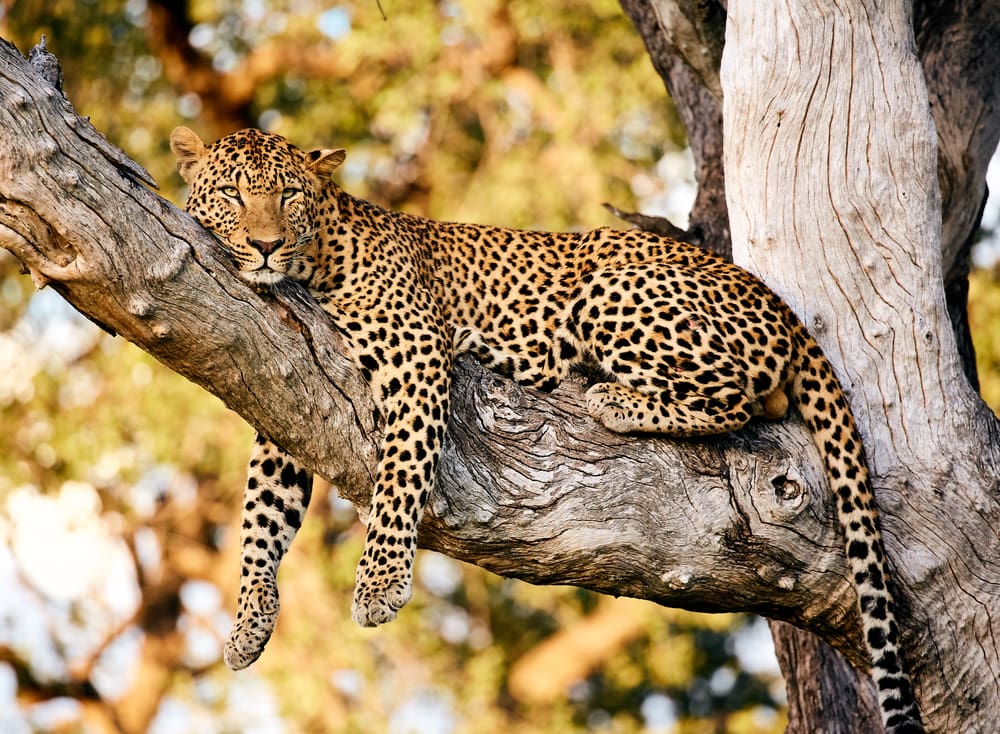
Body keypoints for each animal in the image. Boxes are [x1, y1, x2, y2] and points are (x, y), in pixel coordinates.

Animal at [170, 126, 923, 733]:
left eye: (289, 195)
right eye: (233, 195)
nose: (265, 245)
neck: (318, 257)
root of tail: (778, 301)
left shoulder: (415, 355)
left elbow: (400, 476)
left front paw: (380, 586)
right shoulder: (288, 389)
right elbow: (261, 516)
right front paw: (247, 624)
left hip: (609, 291)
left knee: (737, 397)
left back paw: (609, 397)